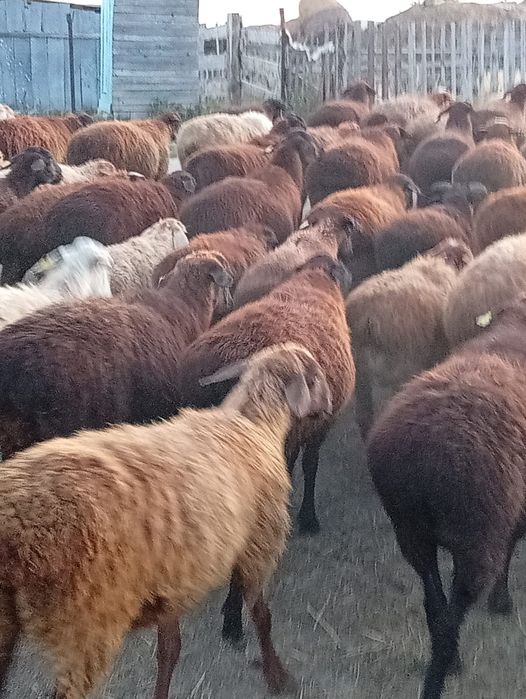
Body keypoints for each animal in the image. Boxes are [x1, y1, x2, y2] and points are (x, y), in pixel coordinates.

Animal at [0, 342, 332, 699]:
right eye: (315, 375)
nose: (328, 407)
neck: (254, 423)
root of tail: (18, 523)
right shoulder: (260, 546)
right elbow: (261, 614)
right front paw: (277, 676)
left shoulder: (174, 576)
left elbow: (169, 649)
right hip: (85, 624)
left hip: (8, 622)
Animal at [367, 296, 526, 699]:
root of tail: (426, 457)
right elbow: (513, 544)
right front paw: (502, 602)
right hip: (478, 535)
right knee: (451, 617)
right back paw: (440, 677)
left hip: (411, 530)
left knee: (434, 606)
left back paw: (451, 660)